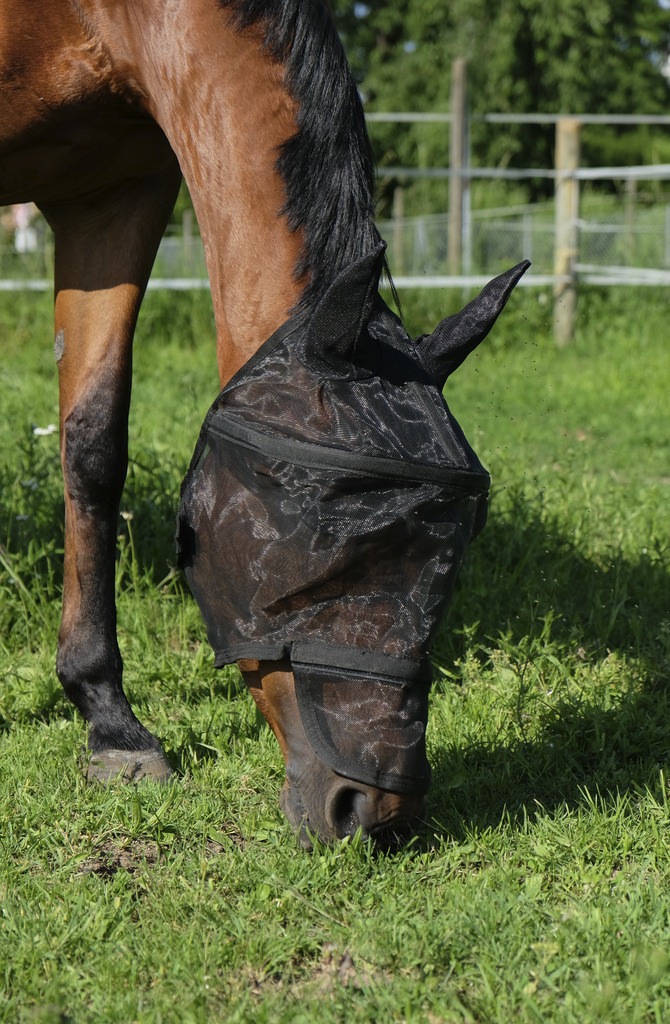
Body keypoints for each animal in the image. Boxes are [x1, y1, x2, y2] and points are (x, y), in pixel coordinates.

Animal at [0, 0, 526, 848]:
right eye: (316, 535)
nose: (373, 814)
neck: (91, 18)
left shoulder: (113, 191)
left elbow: (93, 443)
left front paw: (111, 724)